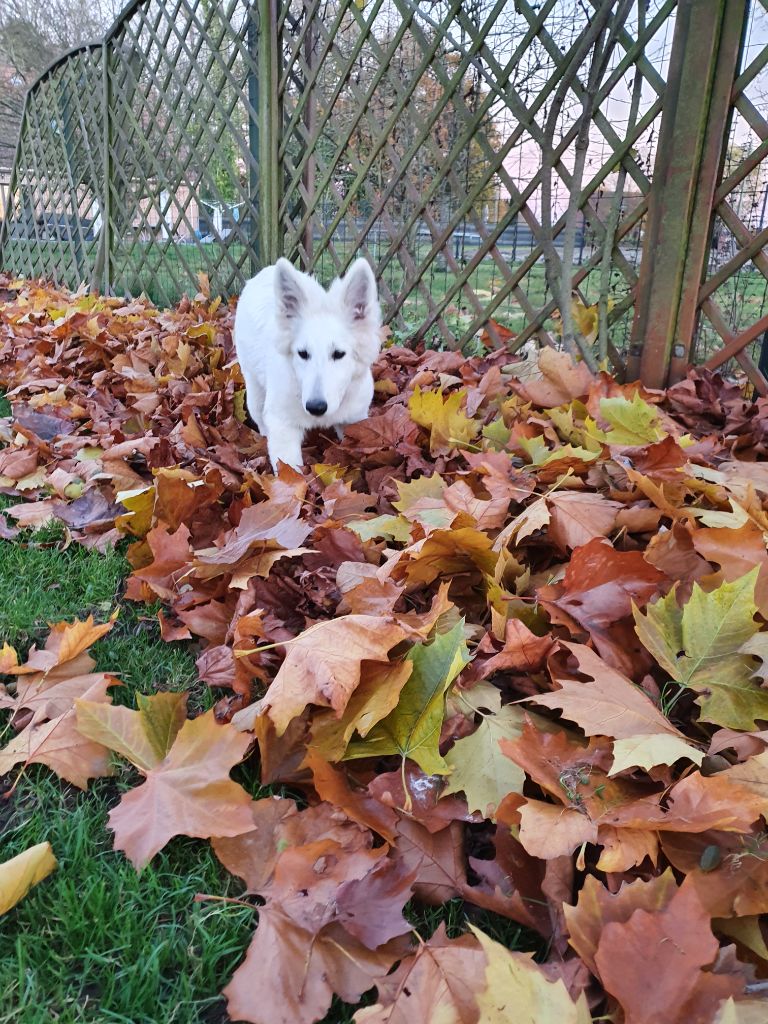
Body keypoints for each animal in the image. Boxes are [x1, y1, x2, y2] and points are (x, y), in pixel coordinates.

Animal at [233, 258, 380, 468]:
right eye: (302, 354)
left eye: (338, 354)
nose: (315, 407)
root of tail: (265, 271)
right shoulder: (282, 425)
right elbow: (291, 472)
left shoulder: (355, 419)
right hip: (255, 391)